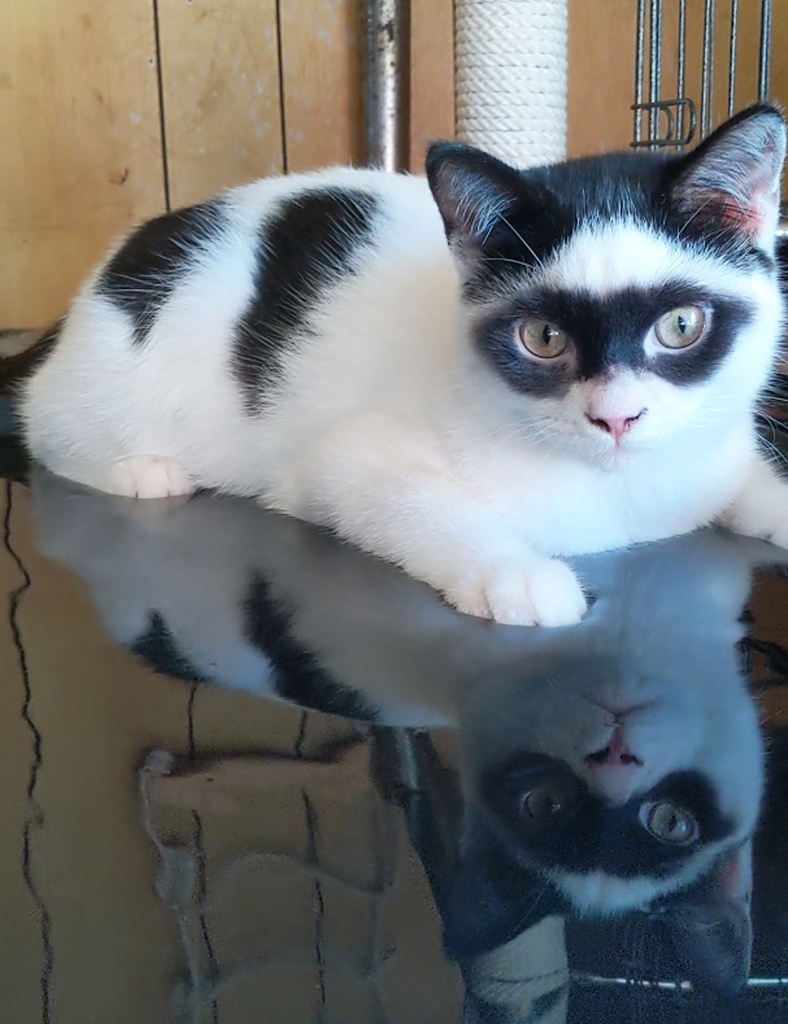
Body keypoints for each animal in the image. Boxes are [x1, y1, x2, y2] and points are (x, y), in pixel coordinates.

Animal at [10, 103, 785, 622]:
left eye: (679, 326)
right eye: (543, 338)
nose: (617, 417)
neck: (625, 491)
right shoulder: (341, 462)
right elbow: (416, 503)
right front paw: (517, 572)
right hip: (109, 379)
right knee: (45, 425)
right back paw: (141, 469)